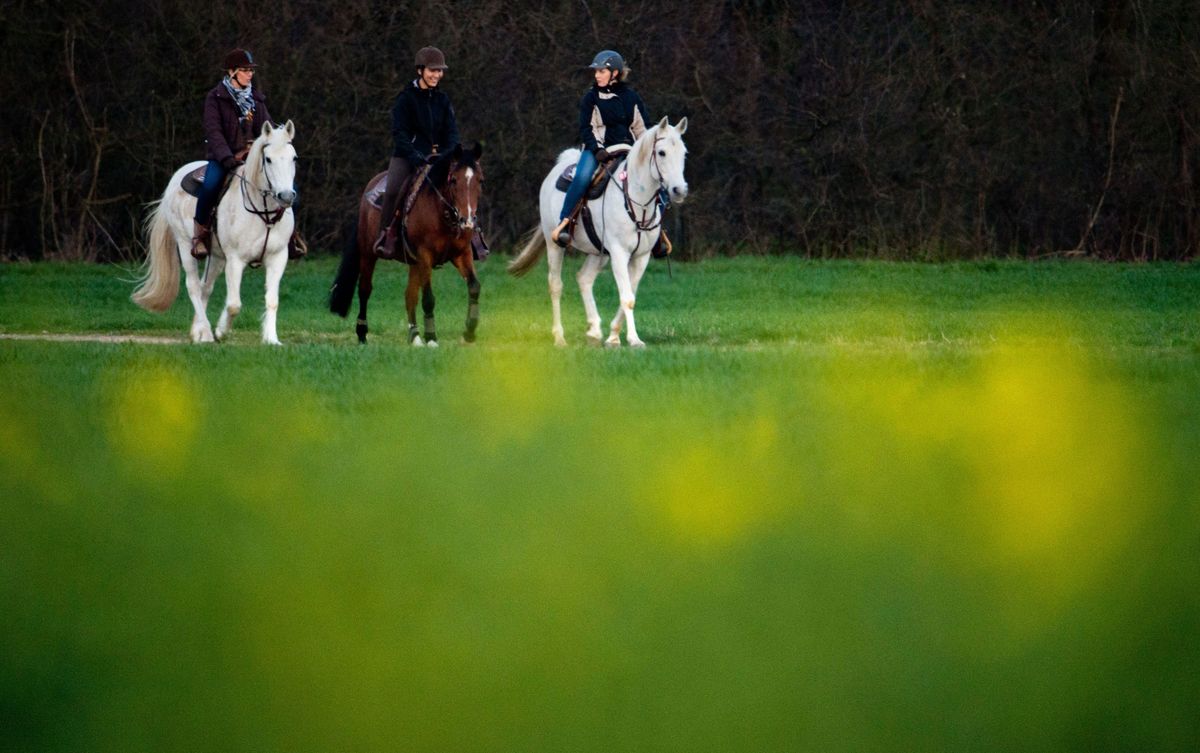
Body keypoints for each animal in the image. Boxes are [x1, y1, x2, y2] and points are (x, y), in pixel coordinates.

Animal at [129, 119, 300, 345]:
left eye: (294, 158)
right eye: (268, 159)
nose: (286, 196)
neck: (263, 213)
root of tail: (175, 179)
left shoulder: (278, 258)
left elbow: (272, 300)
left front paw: (272, 339)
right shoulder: (235, 260)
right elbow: (234, 304)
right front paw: (221, 331)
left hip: (217, 256)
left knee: (205, 286)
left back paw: (198, 332)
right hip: (185, 245)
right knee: (193, 285)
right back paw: (207, 333)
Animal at [328, 143, 482, 345]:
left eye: (480, 181)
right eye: (454, 180)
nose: (468, 221)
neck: (442, 213)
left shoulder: (462, 254)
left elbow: (474, 286)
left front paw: (469, 332)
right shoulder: (425, 255)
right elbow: (428, 298)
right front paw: (431, 337)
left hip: (414, 262)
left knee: (409, 295)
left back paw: (414, 336)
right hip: (368, 253)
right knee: (365, 289)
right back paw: (362, 333)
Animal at [506, 116, 691, 347]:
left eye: (684, 153)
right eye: (661, 152)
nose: (679, 190)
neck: (635, 200)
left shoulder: (641, 257)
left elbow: (630, 294)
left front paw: (613, 336)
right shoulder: (619, 253)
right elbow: (627, 297)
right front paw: (633, 339)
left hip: (599, 252)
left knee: (584, 278)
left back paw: (594, 331)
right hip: (554, 244)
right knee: (555, 285)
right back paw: (559, 337)